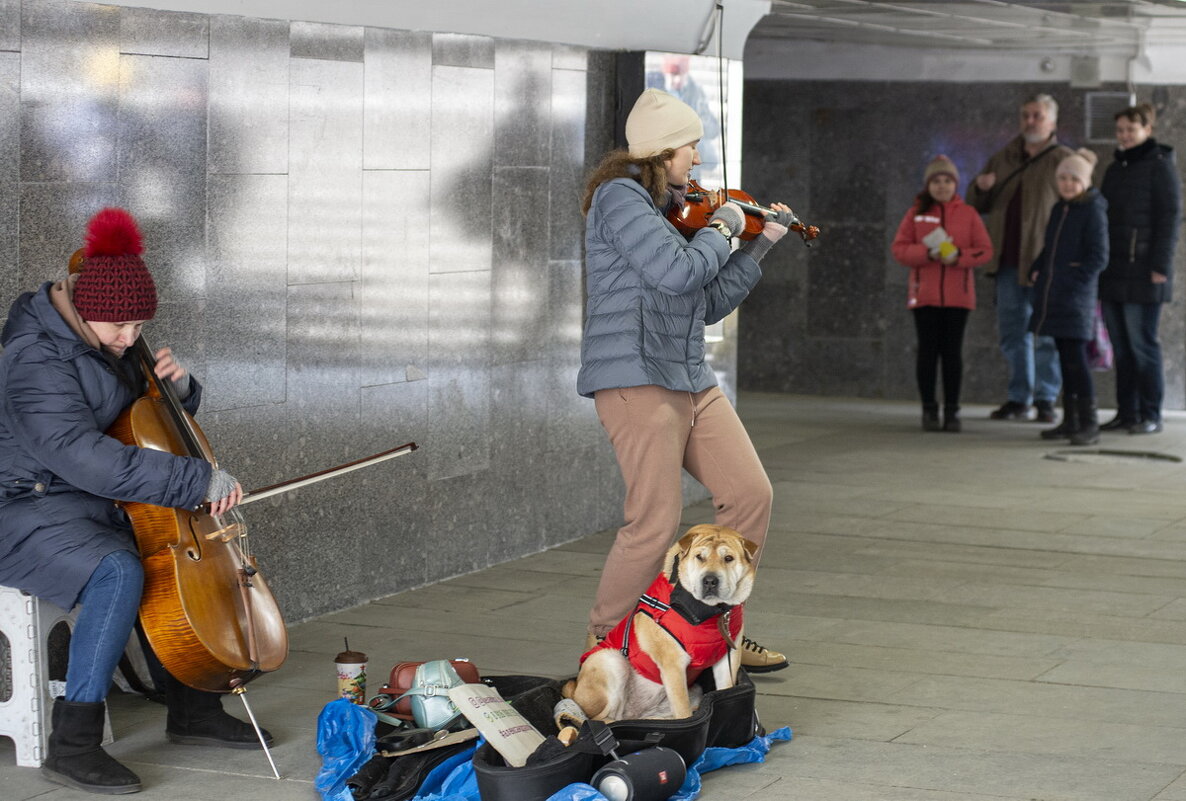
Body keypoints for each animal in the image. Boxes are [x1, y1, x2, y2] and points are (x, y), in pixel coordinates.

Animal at [562, 522, 749, 721]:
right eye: (699, 557)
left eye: (728, 558)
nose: (710, 580)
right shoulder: (674, 665)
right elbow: (684, 713)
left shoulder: (727, 657)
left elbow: (725, 691)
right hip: (611, 660)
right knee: (600, 718)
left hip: (691, 693)